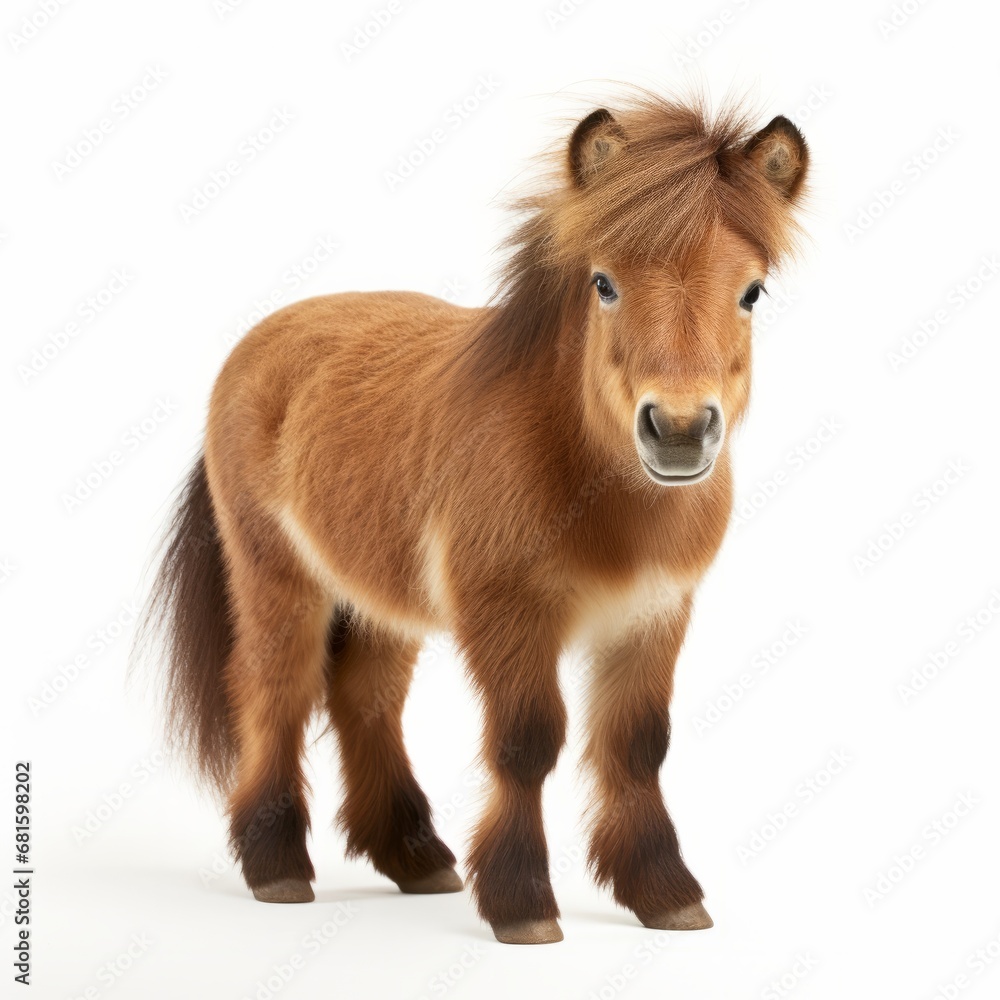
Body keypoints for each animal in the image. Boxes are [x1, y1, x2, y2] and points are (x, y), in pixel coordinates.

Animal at [138, 93, 809, 945]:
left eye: (752, 292)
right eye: (604, 284)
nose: (680, 431)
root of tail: (261, 339)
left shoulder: (652, 615)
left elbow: (637, 748)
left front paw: (663, 893)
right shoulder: (508, 614)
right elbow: (526, 743)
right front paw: (523, 904)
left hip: (378, 596)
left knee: (365, 699)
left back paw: (414, 854)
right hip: (276, 576)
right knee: (275, 691)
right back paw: (277, 865)